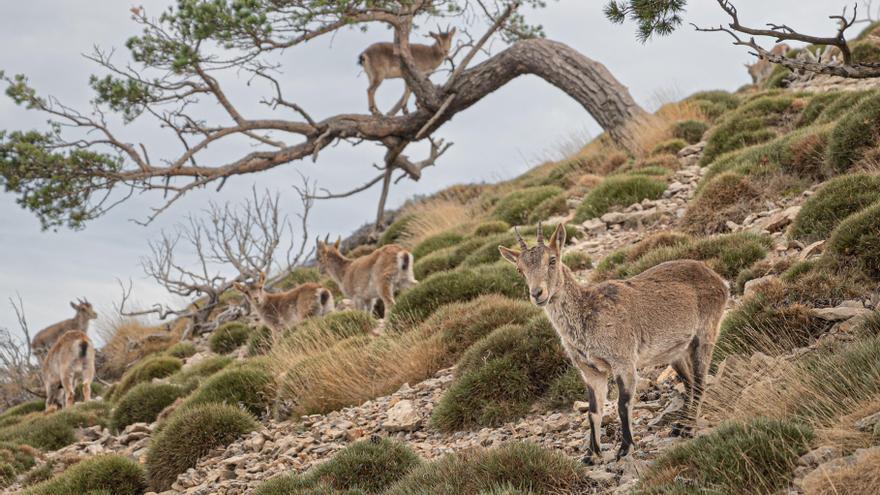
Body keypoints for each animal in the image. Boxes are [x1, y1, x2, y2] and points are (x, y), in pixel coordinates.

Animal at [502, 225, 728, 464]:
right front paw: (591, 454)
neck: (586, 316)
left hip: (705, 334)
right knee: (690, 383)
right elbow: (593, 412)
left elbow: (622, 404)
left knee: (701, 382)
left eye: (552, 259)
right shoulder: (590, 371)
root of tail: (718, 279)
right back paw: (679, 425)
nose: (537, 294)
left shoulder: (623, 361)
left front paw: (625, 449)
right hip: (676, 352)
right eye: (519, 269)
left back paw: (688, 427)